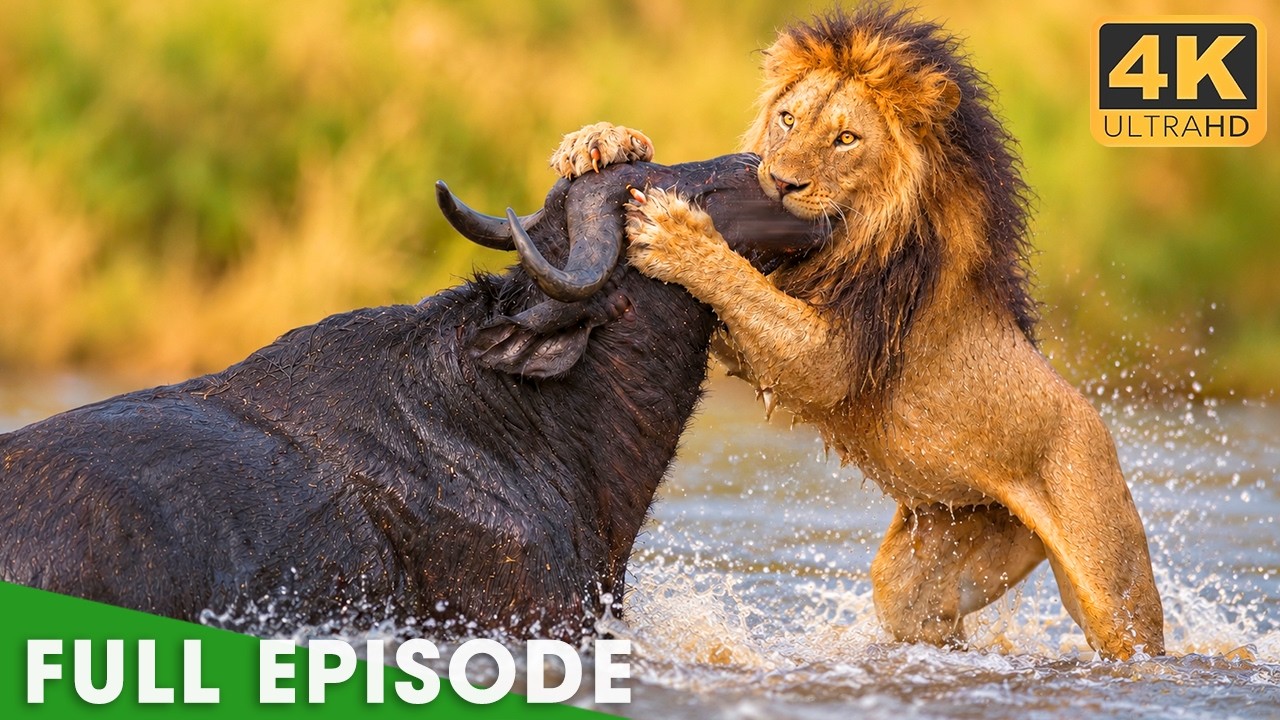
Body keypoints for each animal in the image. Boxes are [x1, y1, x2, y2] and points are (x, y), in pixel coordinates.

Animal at [549, 7, 1164, 659]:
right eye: (788, 119)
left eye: (846, 139)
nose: (781, 182)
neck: (845, 233)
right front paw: (602, 140)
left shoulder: (832, 356)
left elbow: (743, 284)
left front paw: (675, 233)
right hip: (937, 551)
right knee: (925, 617)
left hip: (1111, 584)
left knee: (1132, 632)